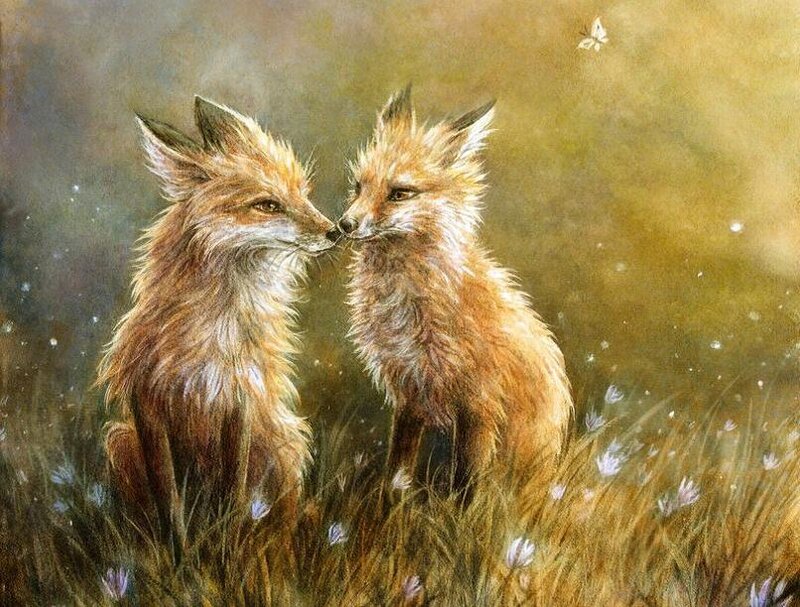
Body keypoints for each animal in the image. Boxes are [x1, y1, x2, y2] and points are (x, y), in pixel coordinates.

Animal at [97, 96, 337, 548]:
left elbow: (233, 495)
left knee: (279, 522)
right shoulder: (147, 402)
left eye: (302, 194)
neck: (213, 330)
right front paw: (178, 556)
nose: (337, 231)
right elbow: (168, 502)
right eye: (267, 205)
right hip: (120, 442)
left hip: (285, 445)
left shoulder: (237, 400)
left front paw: (225, 551)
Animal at [339, 87, 573, 498]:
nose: (343, 225)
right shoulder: (410, 395)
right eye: (358, 187)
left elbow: (467, 487)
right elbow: (397, 476)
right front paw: (391, 508)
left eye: (399, 193)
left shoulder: (479, 404)